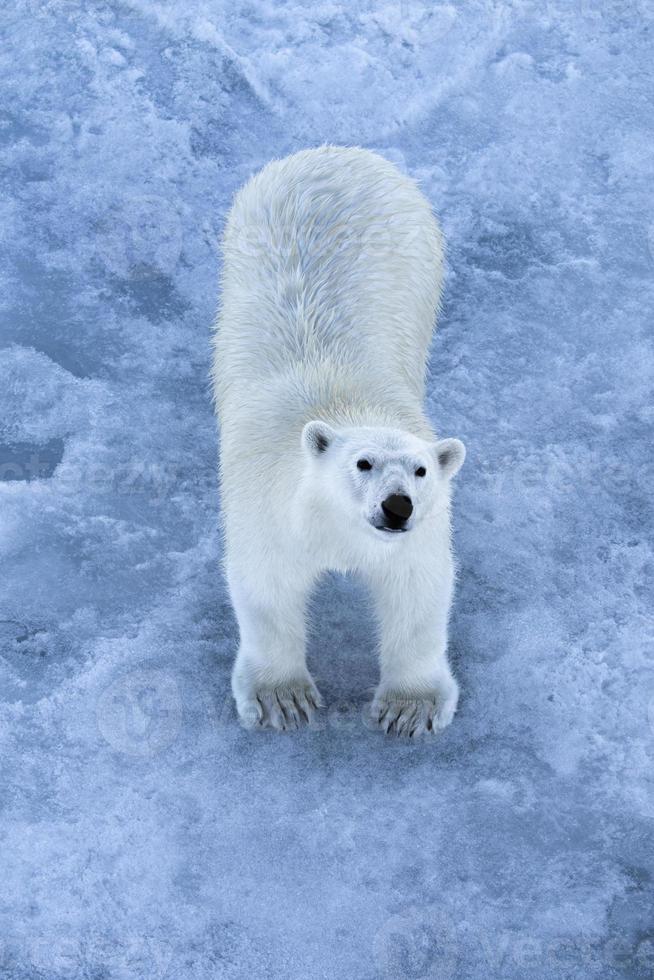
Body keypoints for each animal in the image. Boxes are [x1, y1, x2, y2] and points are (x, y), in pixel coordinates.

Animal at [211, 147, 466, 736]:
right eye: (362, 463)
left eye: (421, 470)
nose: (397, 507)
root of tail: (340, 153)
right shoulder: (269, 509)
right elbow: (267, 586)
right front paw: (282, 699)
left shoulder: (420, 532)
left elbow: (416, 590)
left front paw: (410, 708)